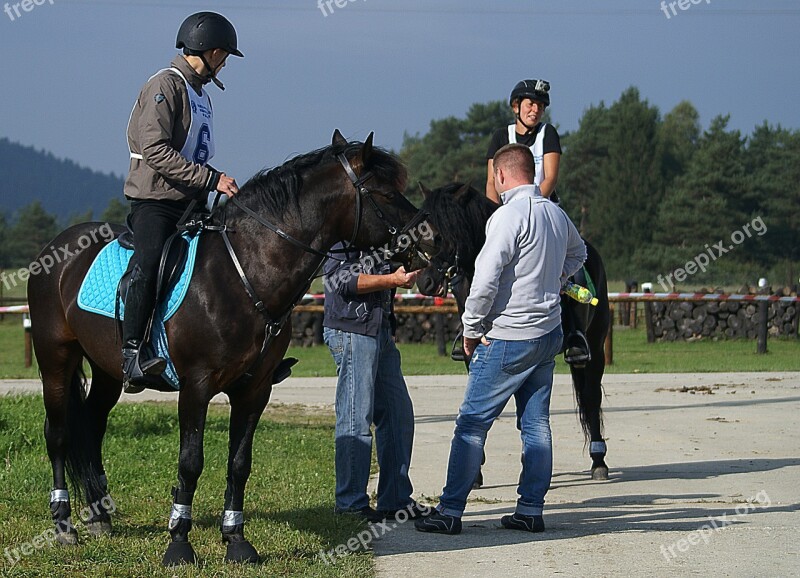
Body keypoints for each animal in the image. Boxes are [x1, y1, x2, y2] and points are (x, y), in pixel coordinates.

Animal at [28, 129, 438, 564]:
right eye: (386, 193)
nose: (432, 242)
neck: (244, 273)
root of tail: (54, 249)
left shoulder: (254, 389)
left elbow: (240, 464)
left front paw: (237, 540)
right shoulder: (196, 387)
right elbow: (191, 462)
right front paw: (179, 543)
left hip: (107, 370)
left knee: (90, 425)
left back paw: (98, 517)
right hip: (56, 359)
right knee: (58, 433)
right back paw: (64, 525)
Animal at [416, 182, 608, 480]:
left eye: (440, 235)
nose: (425, 282)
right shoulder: (478, 353)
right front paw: (476, 470)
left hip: (596, 347)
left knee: (591, 395)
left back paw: (599, 460)